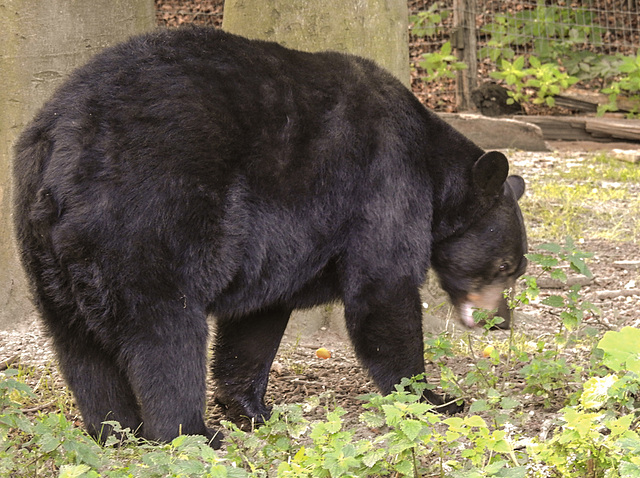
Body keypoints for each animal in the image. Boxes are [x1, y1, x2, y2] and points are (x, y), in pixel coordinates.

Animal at [13, 28, 524, 450]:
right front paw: (434, 398)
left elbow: (256, 321)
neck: (433, 169)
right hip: (147, 219)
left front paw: (251, 408)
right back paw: (191, 433)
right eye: (504, 266)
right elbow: (383, 290)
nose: (501, 322)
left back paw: (116, 431)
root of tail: (61, 149)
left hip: (45, 249)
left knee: (79, 346)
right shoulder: (387, 185)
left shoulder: (280, 251)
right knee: (166, 335)